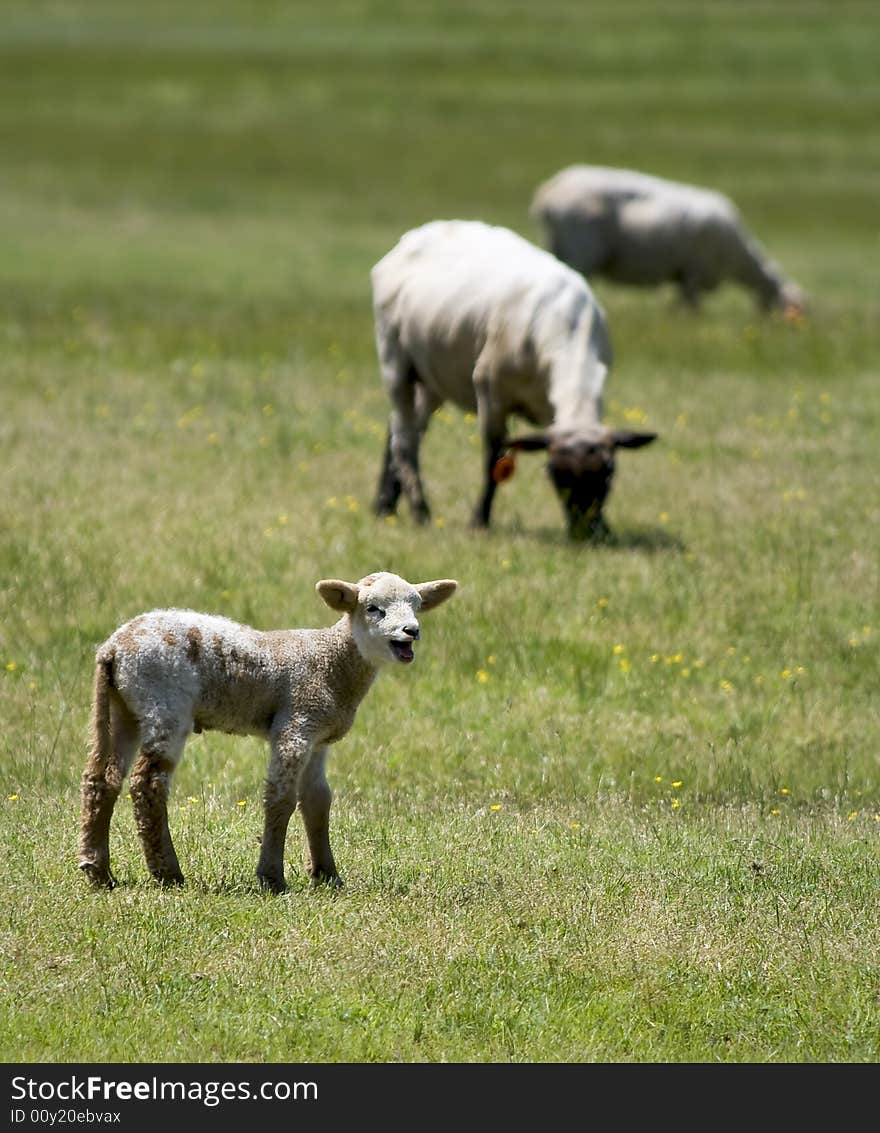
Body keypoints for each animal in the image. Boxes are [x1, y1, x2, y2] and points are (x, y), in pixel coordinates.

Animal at [78, 571, 457, 897]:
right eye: (373, 608)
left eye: (417, 606)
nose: (411, 631)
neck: (331, 660)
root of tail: (113, 648)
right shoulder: (296, 723)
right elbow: (281, 799)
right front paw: (272, 878)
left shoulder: (319, 737)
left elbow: (318, 801)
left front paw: (327, 875)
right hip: (165, 702)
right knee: (147, 784)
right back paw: (167, 873)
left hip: (123, 707)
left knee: (102, 778)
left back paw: (98, 871)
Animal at [366, 222, 656, 543]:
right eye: (556, 475)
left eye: (608, 474)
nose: (584, 532)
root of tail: (418, 233)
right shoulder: (491, 395)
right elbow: (493, 461)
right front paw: (479, 522)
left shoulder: (552, 412)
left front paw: (605, 528)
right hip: (395, 358)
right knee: (404, 438)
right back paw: (420, 512)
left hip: (432, 374)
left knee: (400, 429)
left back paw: (386, 508)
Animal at [525, 164, 806, 314]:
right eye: (795, 311)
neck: (740, 260)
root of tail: (549, 189)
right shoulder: (695, 273)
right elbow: (694, 308)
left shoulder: (683, 276)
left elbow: (680, 306)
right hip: (580, 251)